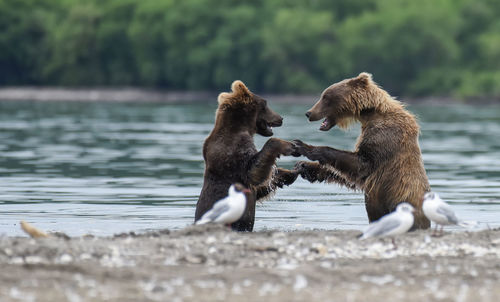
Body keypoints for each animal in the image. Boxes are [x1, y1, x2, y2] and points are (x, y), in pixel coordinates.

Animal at [193, 80, 298, 231]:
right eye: (265, 104)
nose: (281, 118)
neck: (242, 128)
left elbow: (259, 187)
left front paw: (290, 173)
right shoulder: (234, 152)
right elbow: (253, 172)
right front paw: (289, 146)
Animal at [294, 72, 432, 229]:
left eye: (326, 97)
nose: (308, 113)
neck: (369, 115)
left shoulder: (384, 138)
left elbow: (362, 164)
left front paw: (304, 147)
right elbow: (351, 175)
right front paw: (304, 166)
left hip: (402, 204)